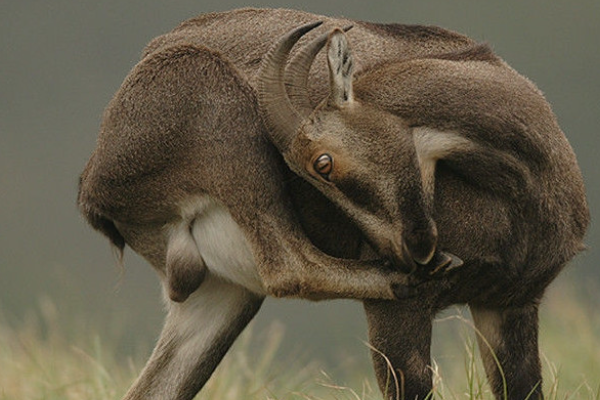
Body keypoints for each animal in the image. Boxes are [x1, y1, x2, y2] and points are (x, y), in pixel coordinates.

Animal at [77, 7, 588, 400]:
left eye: (322, 163)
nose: (411, 253)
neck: (523, 186)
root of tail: (95, 180)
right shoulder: (400, 320)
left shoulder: (512, 303)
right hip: (218, 111)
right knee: (289, 267)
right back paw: (390, 278)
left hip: (221, 292)